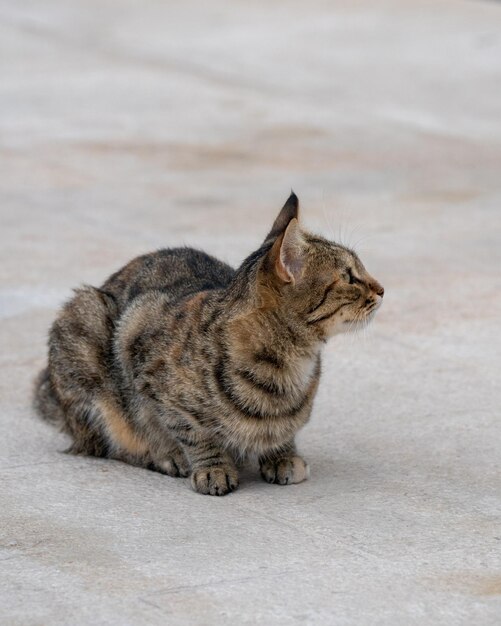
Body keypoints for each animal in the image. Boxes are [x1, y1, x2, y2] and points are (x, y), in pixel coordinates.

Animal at [34, 193, 382, 494]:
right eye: (349, 277)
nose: (381, 289)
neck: (291, 364)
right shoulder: (143, 355)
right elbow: (191, 432)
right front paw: (211, 466)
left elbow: (286, 429)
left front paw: (281, 454)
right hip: (85, 323)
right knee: (104, 444)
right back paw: (162, 456)